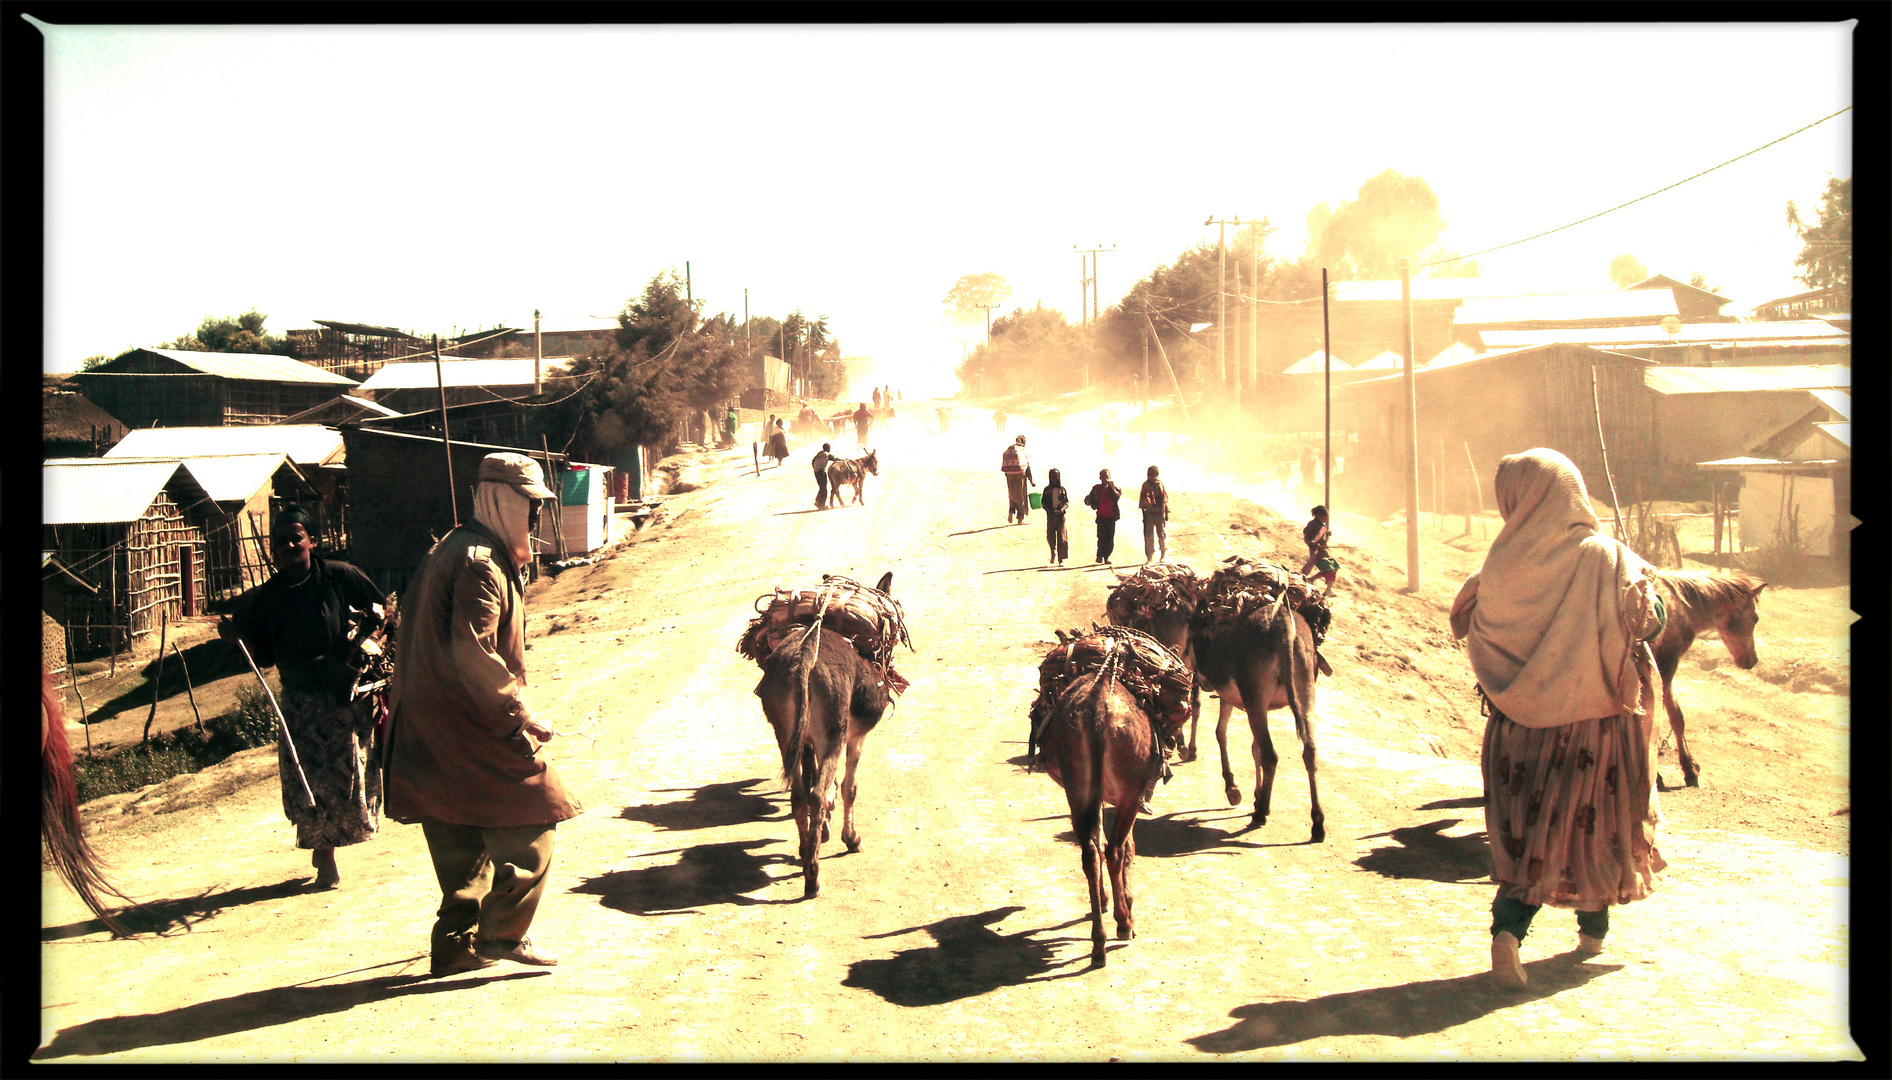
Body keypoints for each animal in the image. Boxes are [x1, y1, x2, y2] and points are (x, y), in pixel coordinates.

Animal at [756, 574, 896, 896]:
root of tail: (805, 656)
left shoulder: (806, 743)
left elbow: (820, 781)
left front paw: (821, 833)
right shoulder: (855, 738)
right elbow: (847, 787)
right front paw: (850, 838)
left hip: (785, 735)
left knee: (799, 796)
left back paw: (805, 851)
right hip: (832, 735)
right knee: (817, 794)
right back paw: (813, 878)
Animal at [1029, 661, 1157, 968]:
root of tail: (1099, 712)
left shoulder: (1094, 796)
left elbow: (1097, 843)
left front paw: (1104, 899)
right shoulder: (1129, 796)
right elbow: (1128, 848)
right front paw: (1126, 903)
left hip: (1078, 789)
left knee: (1090, 852)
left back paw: (1098, 942)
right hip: (1127, 793)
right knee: (1115, 851)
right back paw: (1123, 923)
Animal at [1649, 567, 1763, 786]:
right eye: (1755, 618)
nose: (1752, 660)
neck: (1682, 607)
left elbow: (1677, 717)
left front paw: (1690, 768)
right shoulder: (1666, 665)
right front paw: (1663, 775)